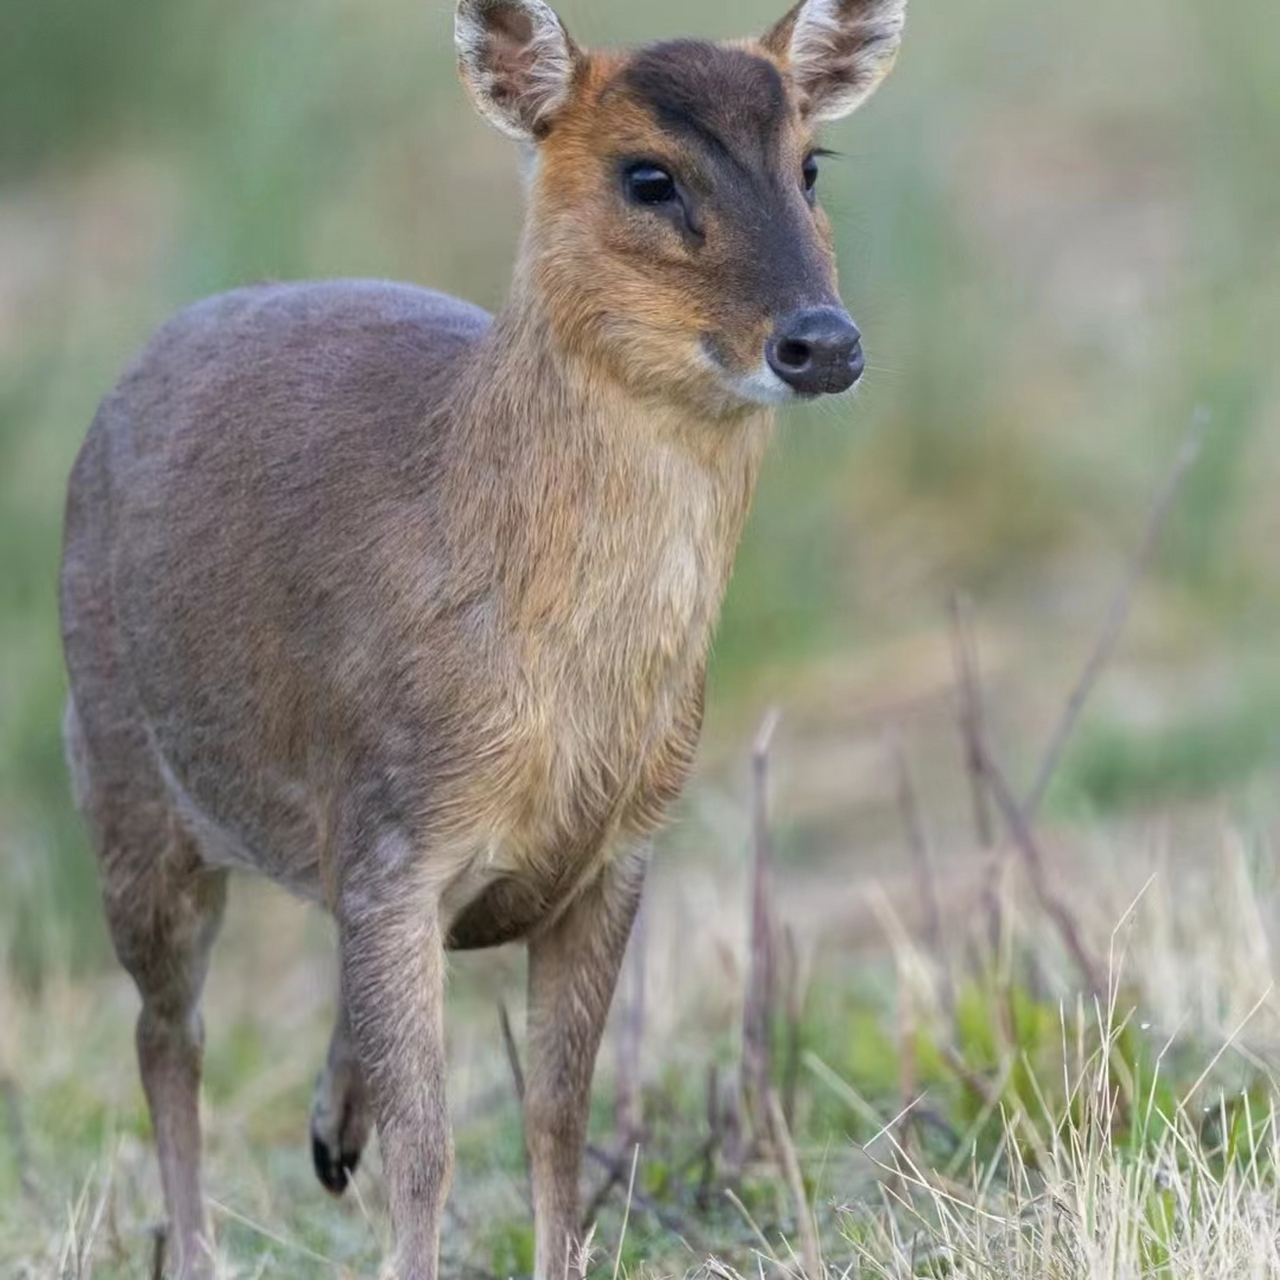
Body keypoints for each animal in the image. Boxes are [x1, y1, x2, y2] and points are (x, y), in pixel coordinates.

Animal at [57, 2, 901, 1269]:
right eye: (646, 174)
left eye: (810, 162)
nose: (821, 342)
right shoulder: (395, 831)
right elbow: (433, 1142)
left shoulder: (616, 852)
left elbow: (556, 1112)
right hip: (120, 773)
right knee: (168, 1032)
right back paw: (200, 1242)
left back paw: (327, 1129)